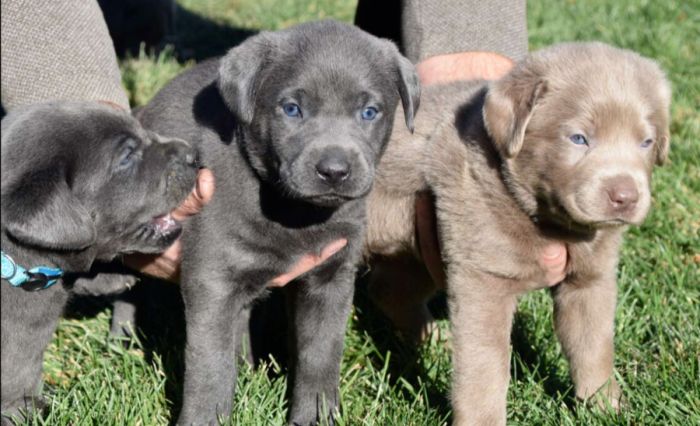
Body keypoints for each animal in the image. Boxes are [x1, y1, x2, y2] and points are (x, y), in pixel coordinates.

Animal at [137, 20, 422, 426]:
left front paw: (316, 415)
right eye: (291, 109)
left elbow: (321, 353)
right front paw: (206, 417)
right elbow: (211, 366)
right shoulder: (212, 280)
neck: (296, 213)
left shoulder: (332, 276)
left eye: (369, 112)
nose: (334, 171)